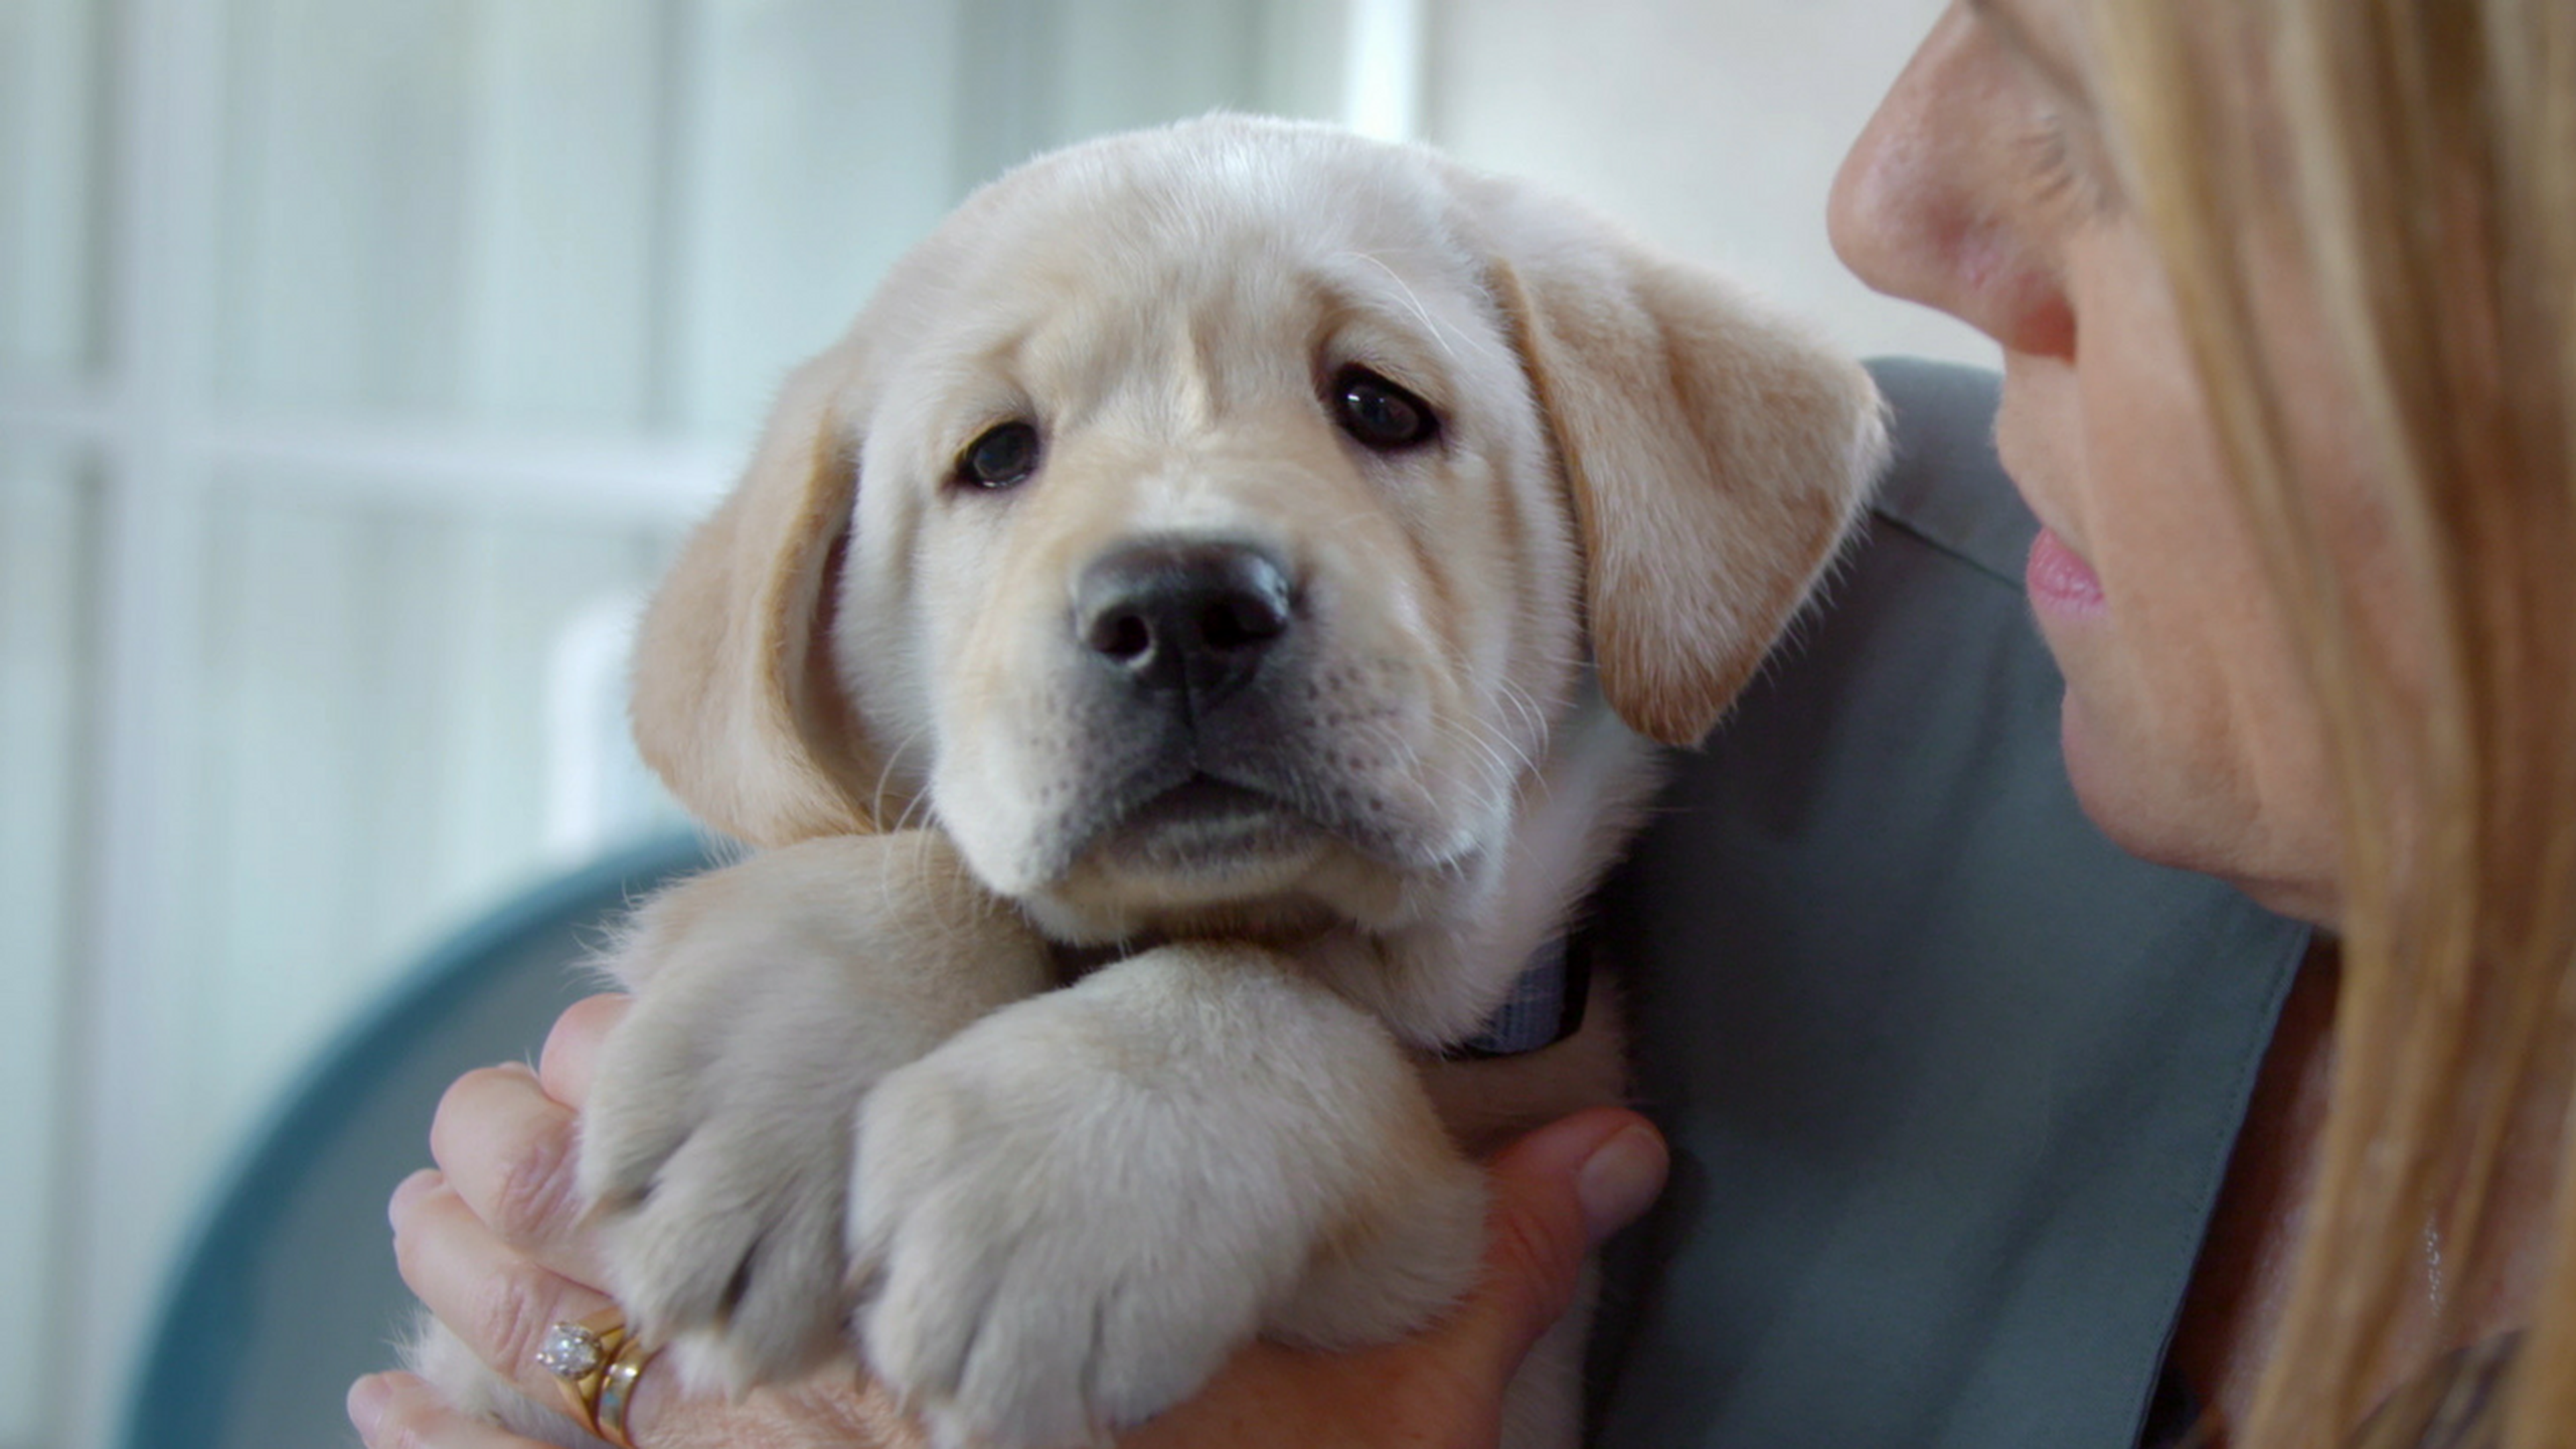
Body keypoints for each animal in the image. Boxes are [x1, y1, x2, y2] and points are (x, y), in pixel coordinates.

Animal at [417, 115, 1875, 1444]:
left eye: (1378, 405)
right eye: (998, 454)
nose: (1182, 611)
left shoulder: (1449, 1266)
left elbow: (1277, 1003)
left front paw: (1058, 1186)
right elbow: (914, 853)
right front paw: (762, 1090)